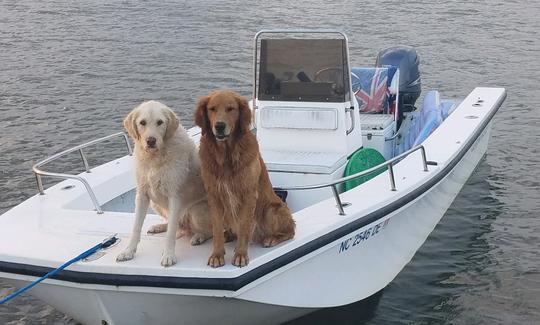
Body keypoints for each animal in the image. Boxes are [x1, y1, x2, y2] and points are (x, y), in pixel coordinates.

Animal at [116, 100, 211, 264]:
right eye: (142, 122)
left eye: (160, 122)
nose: (151, 141)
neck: (155, 158)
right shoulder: (142, 194)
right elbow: (136, 227)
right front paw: (128, 251)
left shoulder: (175, 196)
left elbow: (171, 233)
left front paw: (168, 255)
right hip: (155, 203)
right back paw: (159, 226)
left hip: (197, 211)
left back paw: (199, 236)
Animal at [195, 89, 296, 266]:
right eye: (212, 109)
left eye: (231, 109)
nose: (219, 126)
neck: (226, 155)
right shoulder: (214, 195)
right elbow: (216, 229)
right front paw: (217, 254)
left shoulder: (248, 195)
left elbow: (243, 228)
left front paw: (241, 254)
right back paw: (228, 235)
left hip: (271, 210)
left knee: (290, 230)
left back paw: (271, 239)